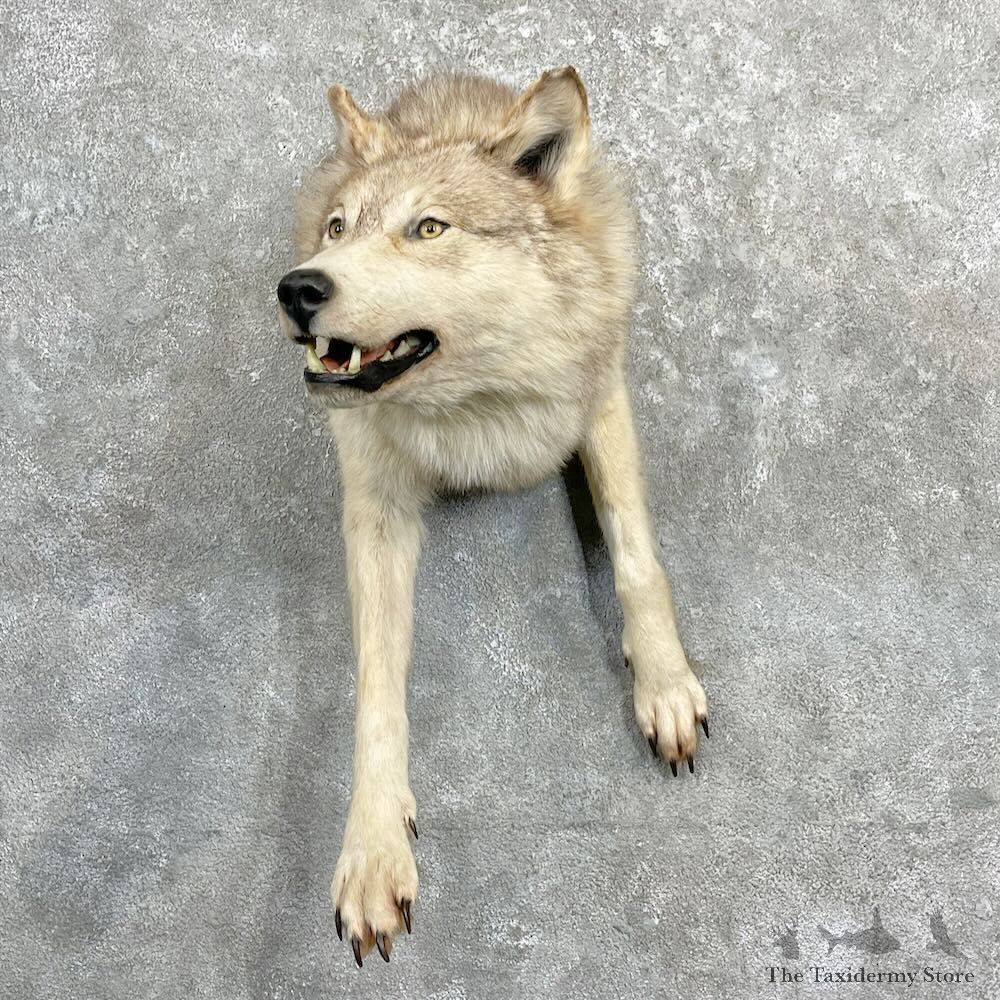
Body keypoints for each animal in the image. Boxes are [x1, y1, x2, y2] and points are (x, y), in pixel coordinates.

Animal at [276, 67, 709, 967]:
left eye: (428, 227)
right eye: (338, 228)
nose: (298, 286)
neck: (479, 411)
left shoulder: (600, 394)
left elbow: (636, 557)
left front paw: (664, 685)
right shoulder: (374, 503)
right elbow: (376, 689)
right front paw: (373, 851)